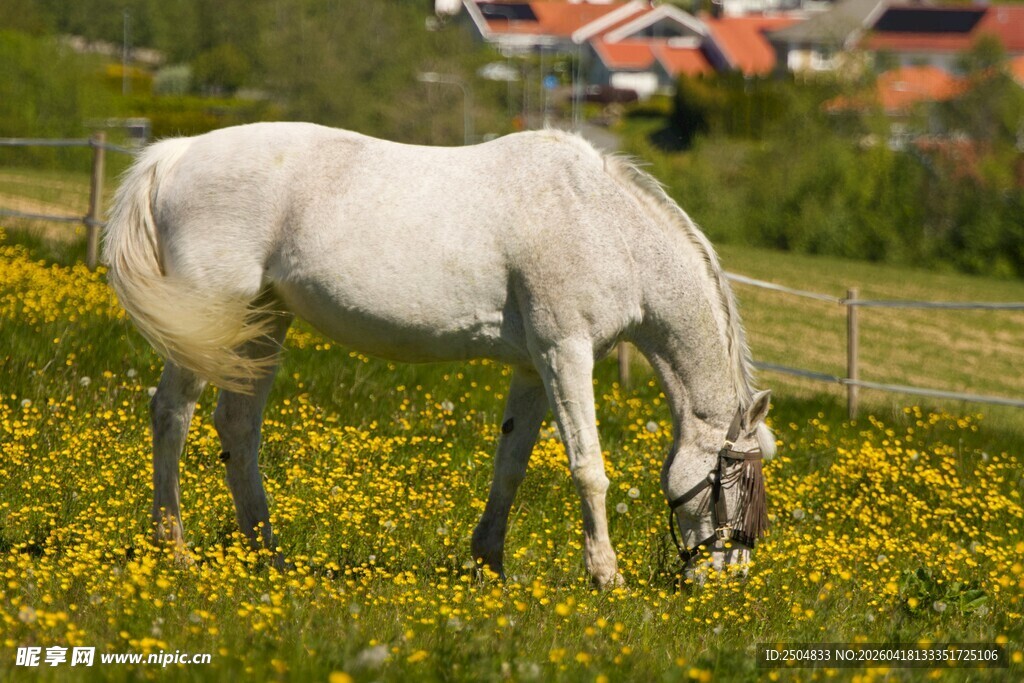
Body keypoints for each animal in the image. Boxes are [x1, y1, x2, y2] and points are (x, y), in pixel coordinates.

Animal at [103, 122, 775, 587]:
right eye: (732, 480)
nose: (729, 579)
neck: (602, 225)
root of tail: (177, 153)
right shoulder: (566, 352)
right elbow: (589, 467)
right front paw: (605, 575)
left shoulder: (533, 368)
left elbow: (511, 464)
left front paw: (490, 563)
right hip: (206, 321)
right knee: (171, 415)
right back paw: (175, 550)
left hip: (263, 322)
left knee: (238, 426)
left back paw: (268, 553)